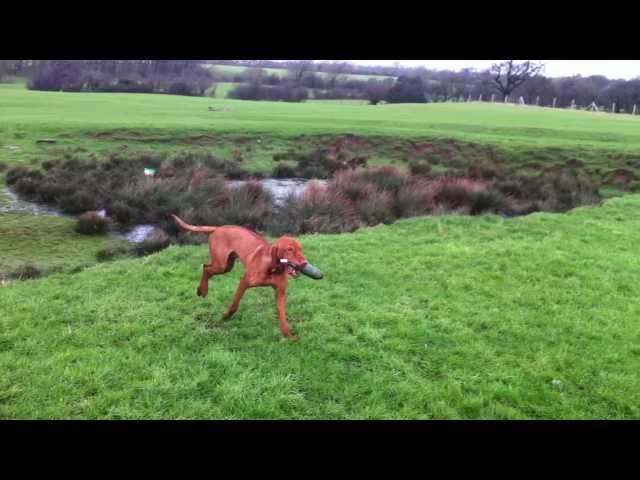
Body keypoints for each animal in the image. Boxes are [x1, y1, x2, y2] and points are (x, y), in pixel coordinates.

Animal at [171, 214, 308, 342]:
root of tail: (219, 228)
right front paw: (226, 316)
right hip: (221, 265)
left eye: (300, 249)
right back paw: (202, 290)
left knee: (207, 268)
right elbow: (235, 304)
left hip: (227, 265)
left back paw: (202, 290)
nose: (304, 264)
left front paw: (289, 336)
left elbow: (283, 317)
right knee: (206, 268)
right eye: (289, 249)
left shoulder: (280, 292)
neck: (272, 268)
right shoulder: (244, 282)